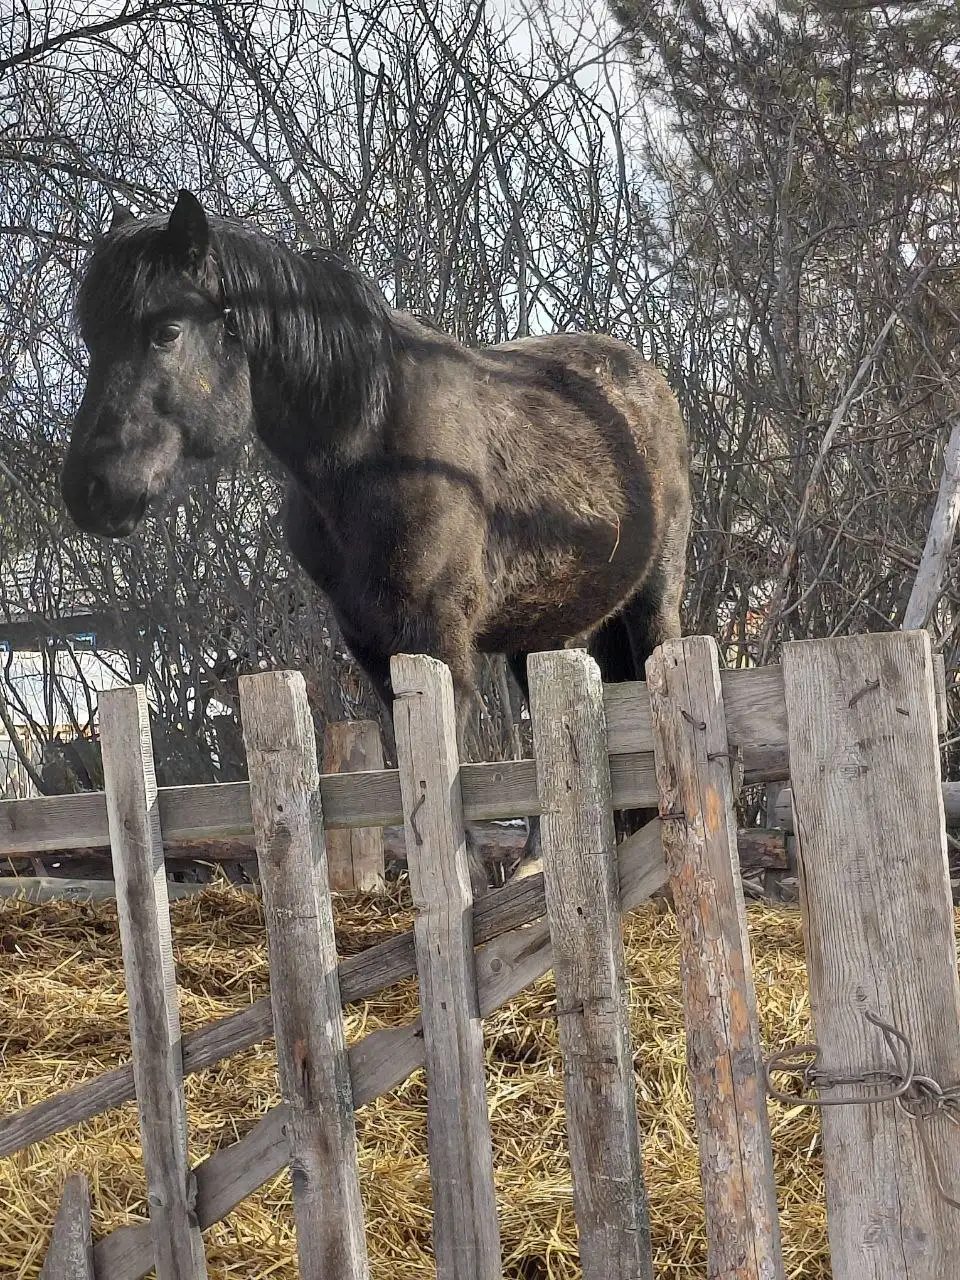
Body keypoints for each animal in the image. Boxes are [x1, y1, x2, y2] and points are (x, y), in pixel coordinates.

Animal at [61, 190, 691, 883]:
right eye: (92, 338)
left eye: (166, 331)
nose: (90, 490)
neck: (371, 445)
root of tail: (645, 380)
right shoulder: (369, 639)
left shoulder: (439, 639)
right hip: (547, 633)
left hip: (653, 602)